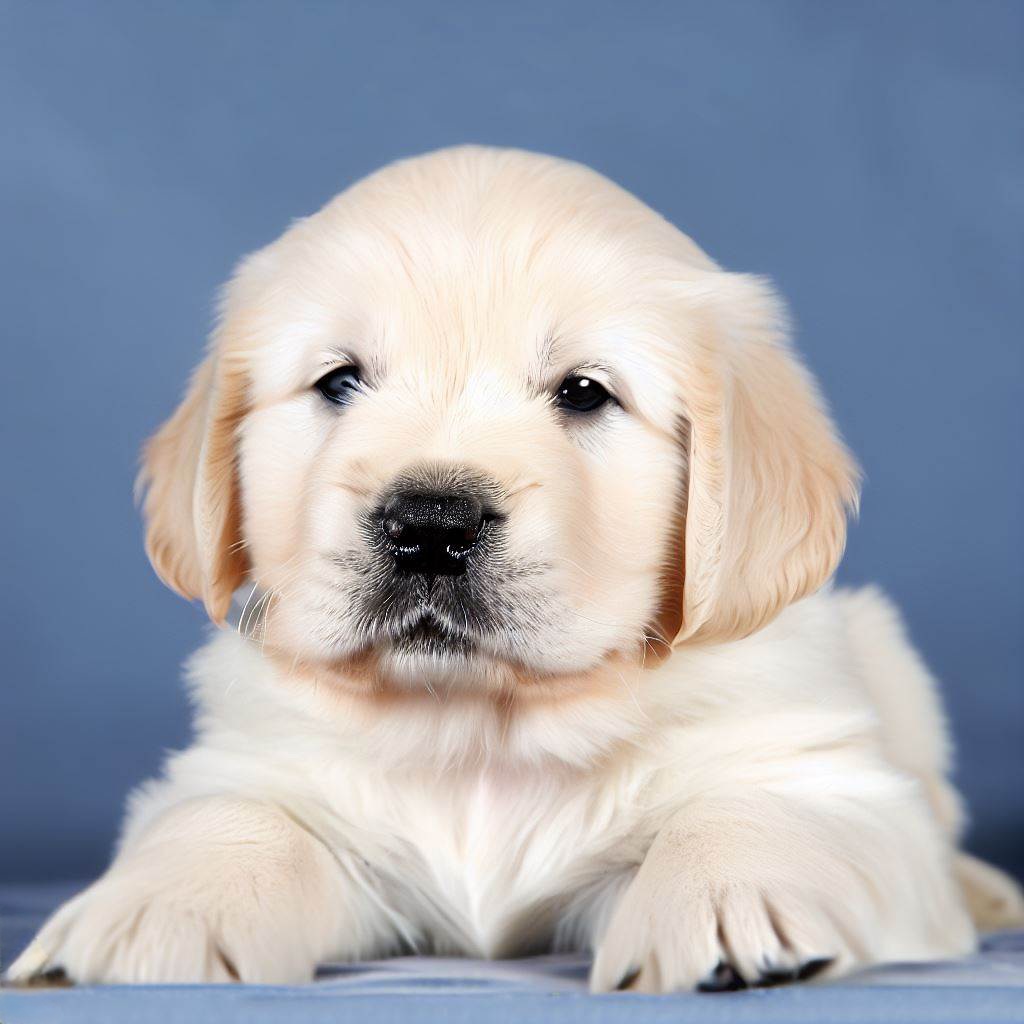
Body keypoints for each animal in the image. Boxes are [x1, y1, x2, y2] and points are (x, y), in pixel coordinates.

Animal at [9, 148, 1024, 987]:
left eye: (584, 392)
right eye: (339, 381)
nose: (429, 525)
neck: (479, 737)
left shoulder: (820, 766)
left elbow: (755, 808)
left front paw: (729, 905)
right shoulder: (249, 763)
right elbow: (228, 816)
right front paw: (153, 915)